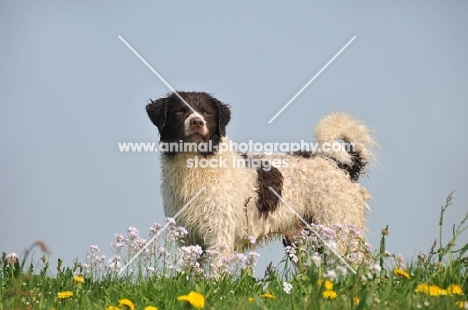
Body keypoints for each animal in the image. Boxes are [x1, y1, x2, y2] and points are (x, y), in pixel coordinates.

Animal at [146, 91, 376, 256]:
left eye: (207, 113)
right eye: (180, 111)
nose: (197, 122)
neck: (198, 165)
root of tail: (341, 165)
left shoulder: (219, 235)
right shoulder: (190, 237)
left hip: (339, 230)